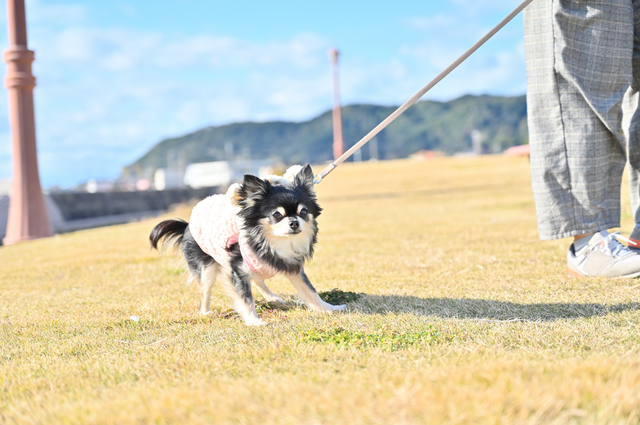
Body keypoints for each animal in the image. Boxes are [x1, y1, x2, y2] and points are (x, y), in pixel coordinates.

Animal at [149, 163, 344, 324]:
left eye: (303, 212)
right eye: (277, 215)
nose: (294, 223)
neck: (276, 242)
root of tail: (187, 226)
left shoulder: (293, 267)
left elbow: (311, 291)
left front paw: (329, 308)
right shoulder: (237, 269)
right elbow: (246, 298)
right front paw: (253, 321)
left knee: (258, 280)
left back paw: (272, 298)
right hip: (207, 267)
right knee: (205, 290)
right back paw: (204, 312)